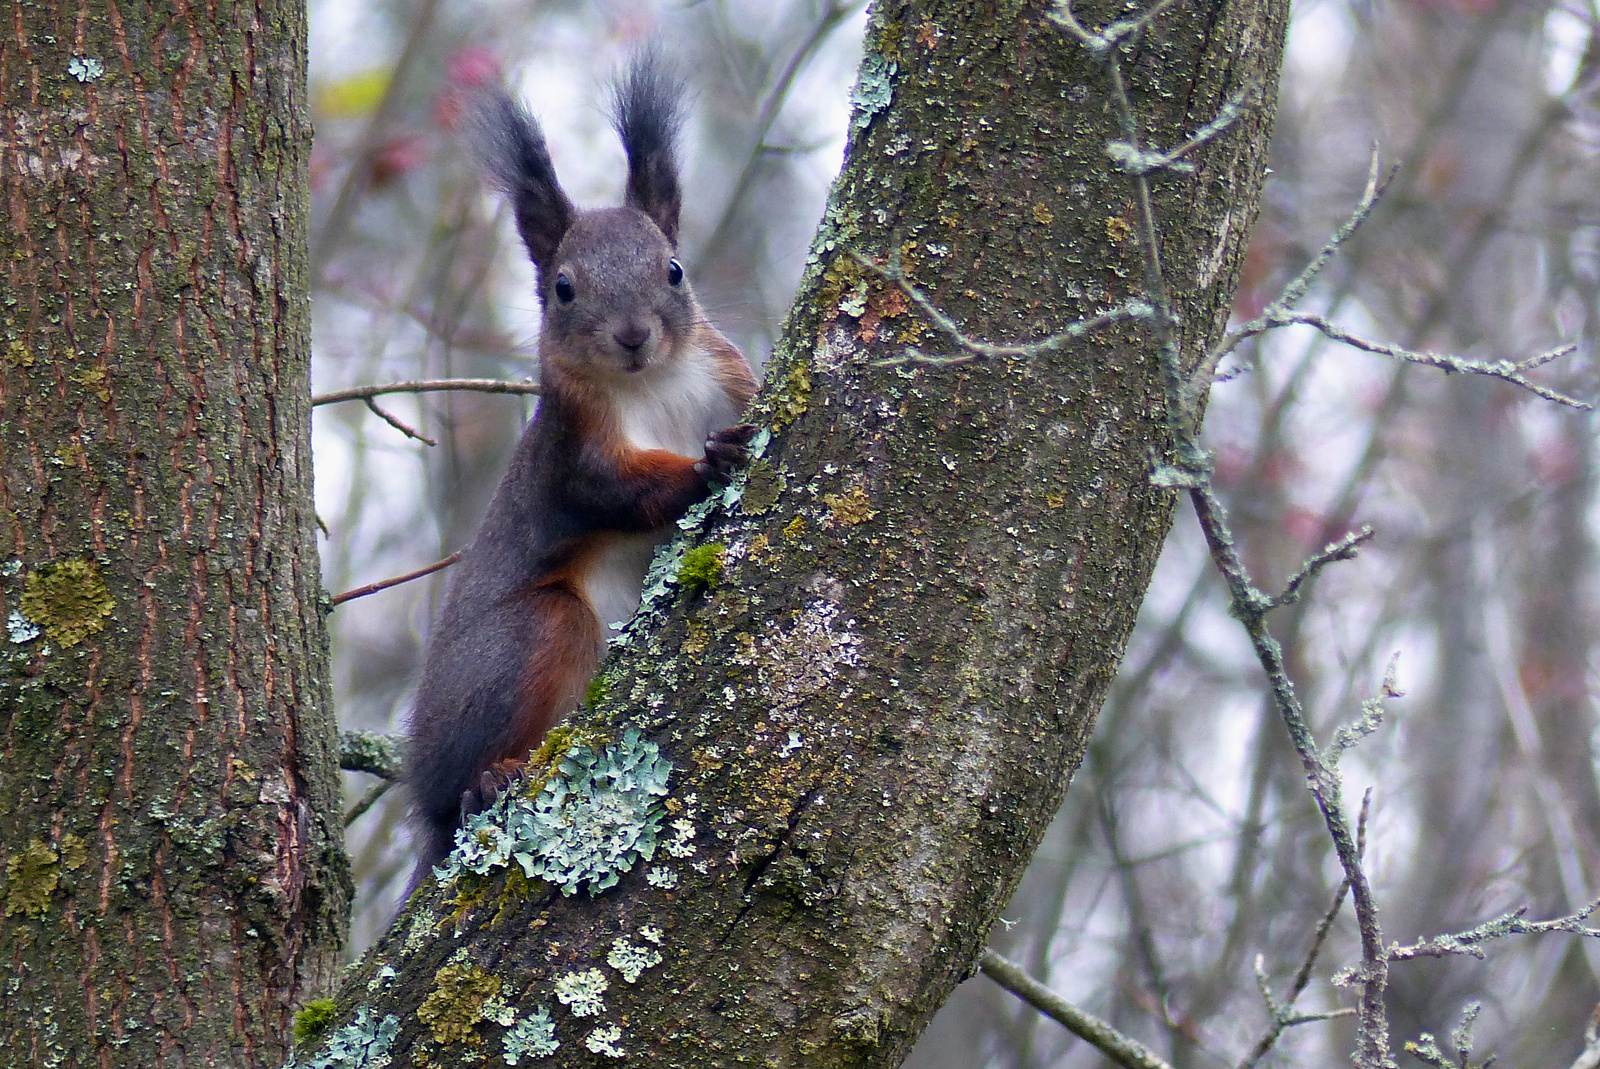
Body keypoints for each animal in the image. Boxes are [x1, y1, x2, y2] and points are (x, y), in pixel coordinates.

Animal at [406, 54, 755, 883]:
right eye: (564, 288)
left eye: (674, 270)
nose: (632, 335)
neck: (651, 385)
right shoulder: (573, 451)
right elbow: (617, 490)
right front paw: (707, 464)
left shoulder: (729, 374)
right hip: (531, 637)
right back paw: (486, 780)